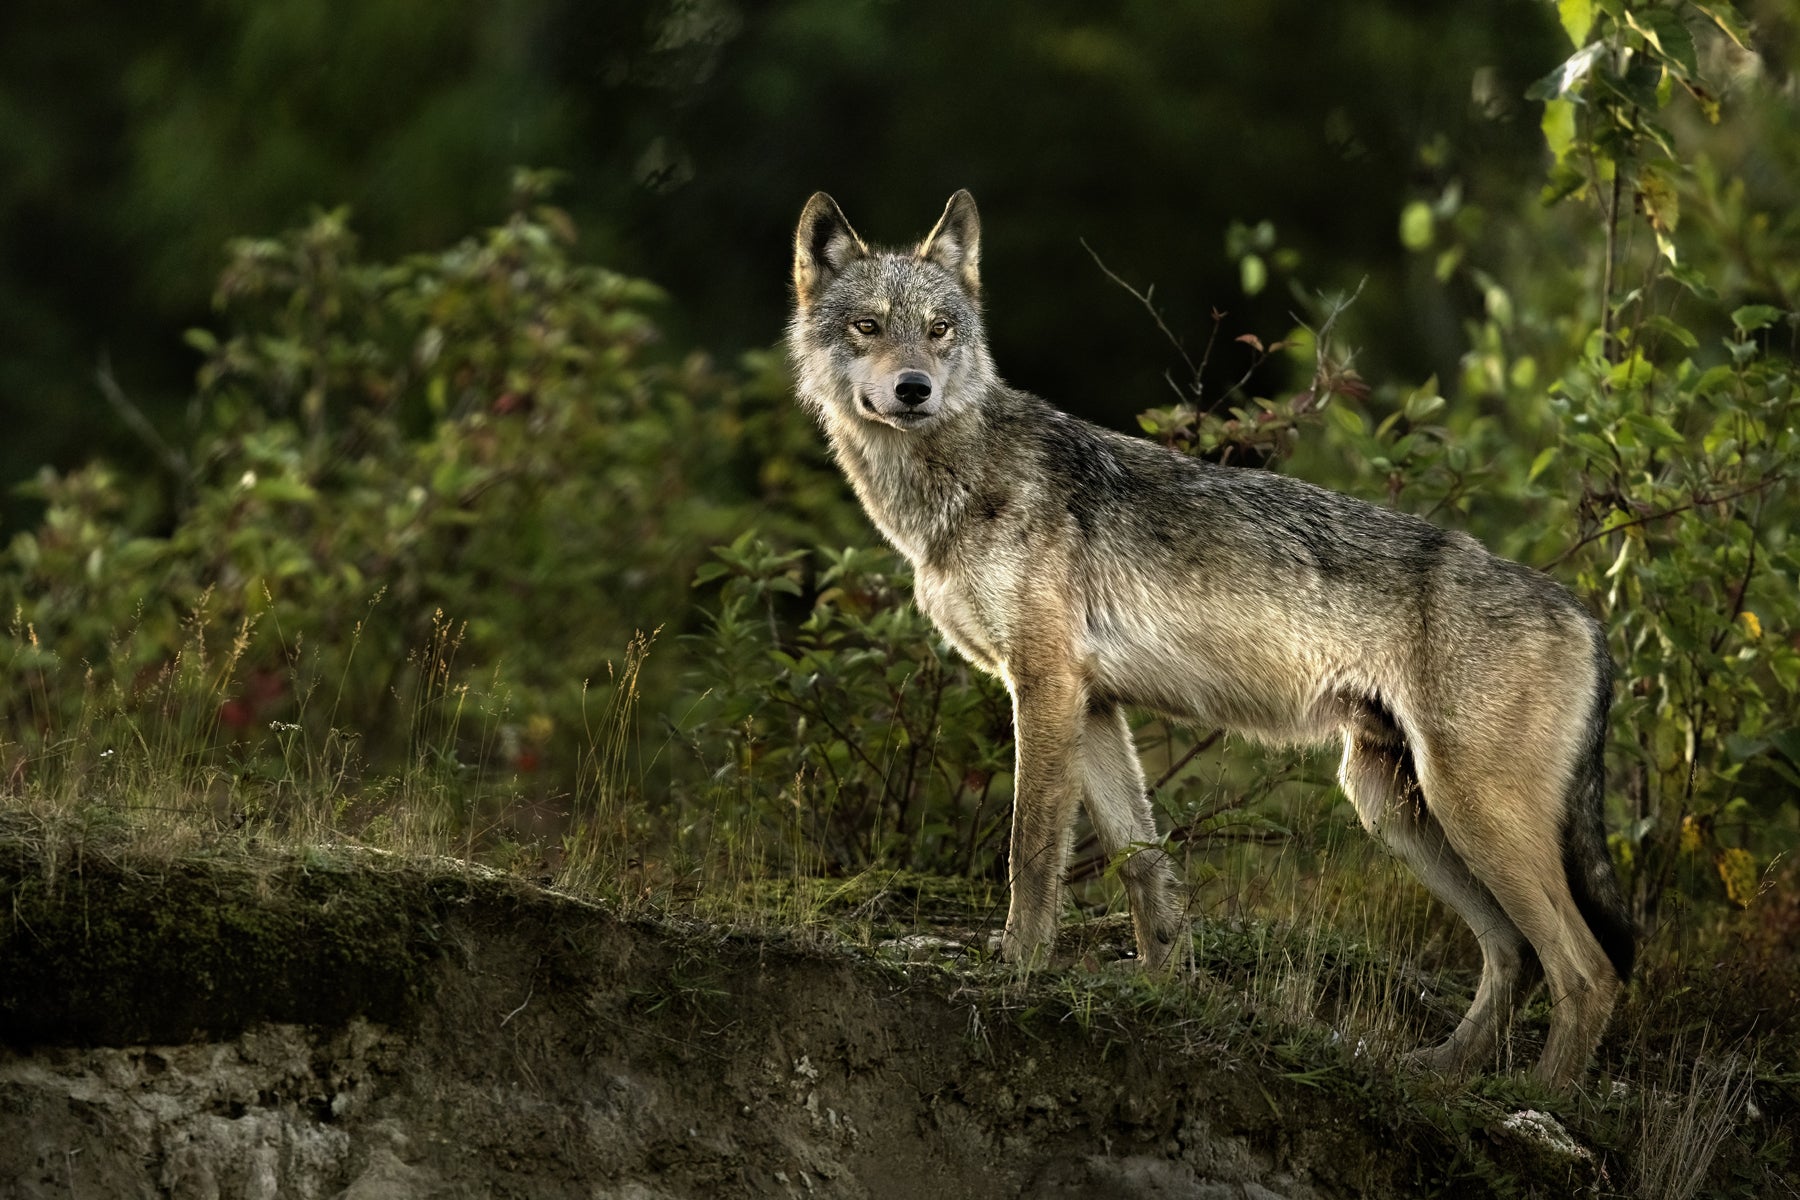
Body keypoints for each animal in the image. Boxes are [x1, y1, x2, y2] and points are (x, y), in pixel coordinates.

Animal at [786, 189, 1634, 1087]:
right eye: (870, 326)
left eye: (940, 328)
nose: (913, 389)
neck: (950, 488)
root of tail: (1586, 614)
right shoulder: (1092, 706)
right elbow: (1145, 868)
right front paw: (1163, 993)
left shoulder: (1044, 687)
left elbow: (1030, 854)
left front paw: (1018, 968)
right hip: (1395, 808)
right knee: (1514, 954)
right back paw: (1440, 1071)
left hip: (1467, 810)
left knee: (1586, 969)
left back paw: (1543, 1097)